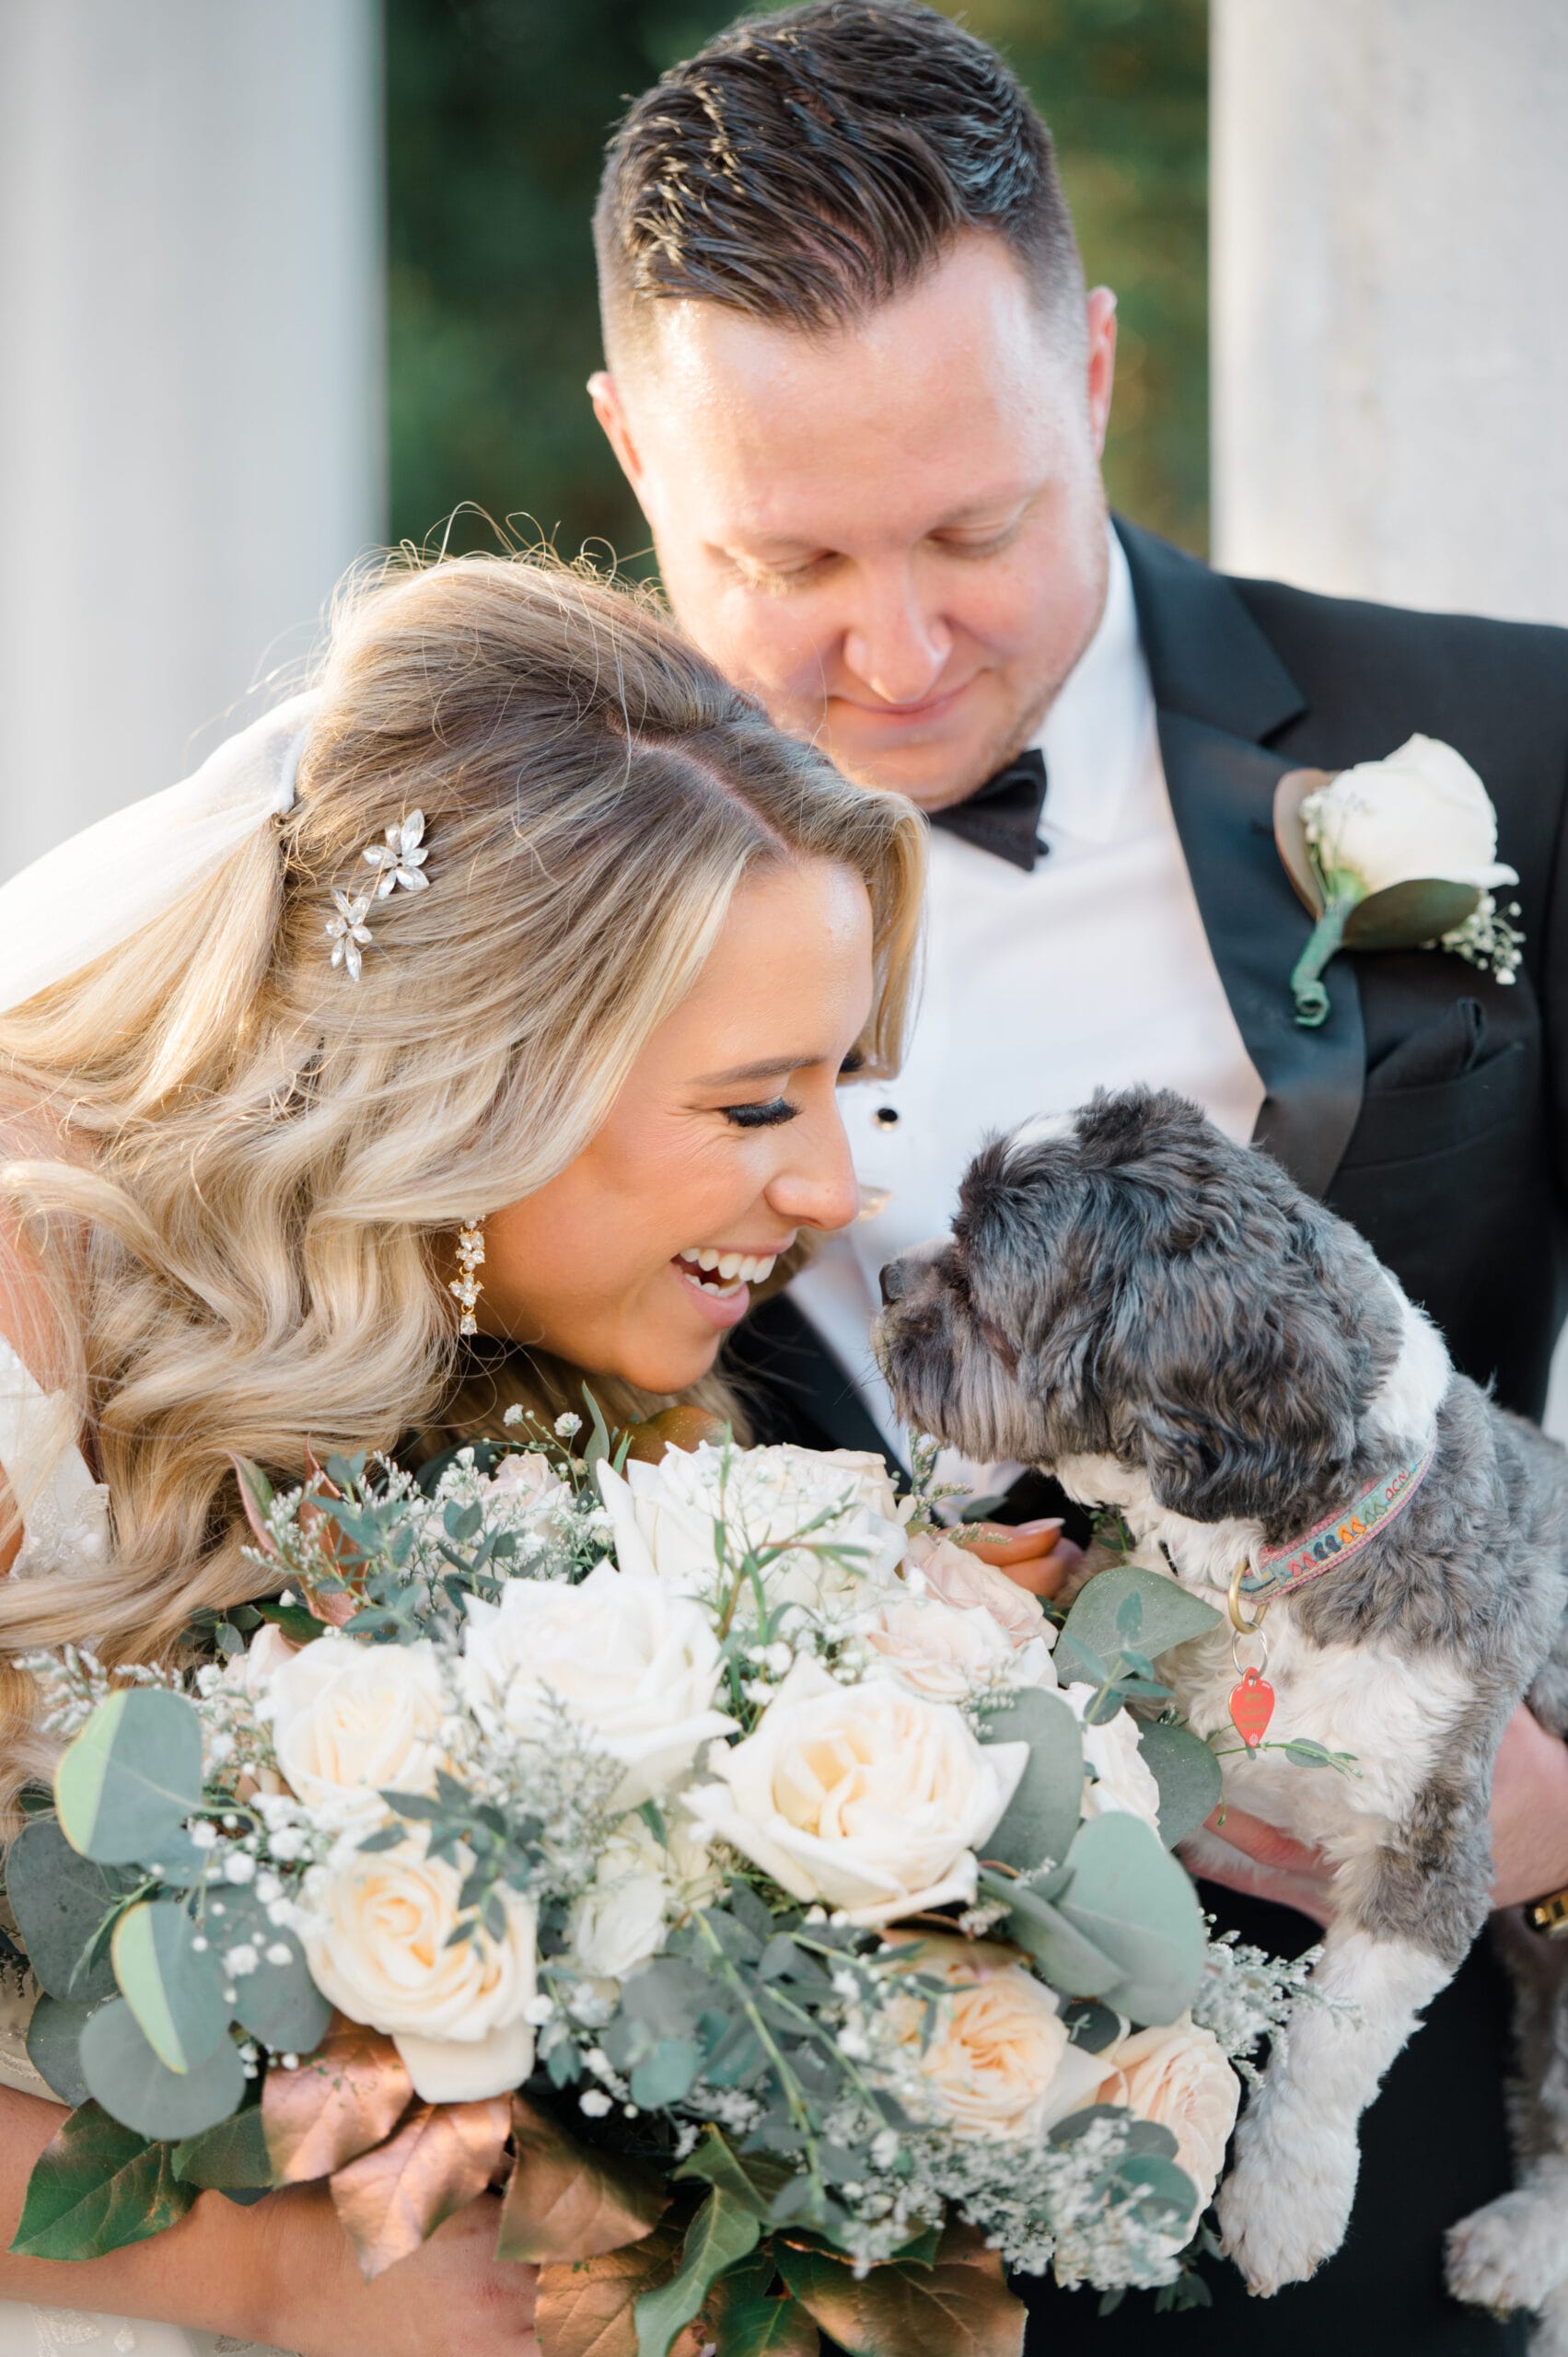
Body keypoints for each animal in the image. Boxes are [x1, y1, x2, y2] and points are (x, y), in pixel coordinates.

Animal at [872, 1084, 1565, 2338]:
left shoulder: (1429, 1844)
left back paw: (1525, 2238)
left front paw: (1283, 2199)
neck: (1270, 1577)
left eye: (980, 1285)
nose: (891, 1276)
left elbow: (1334, 2043)